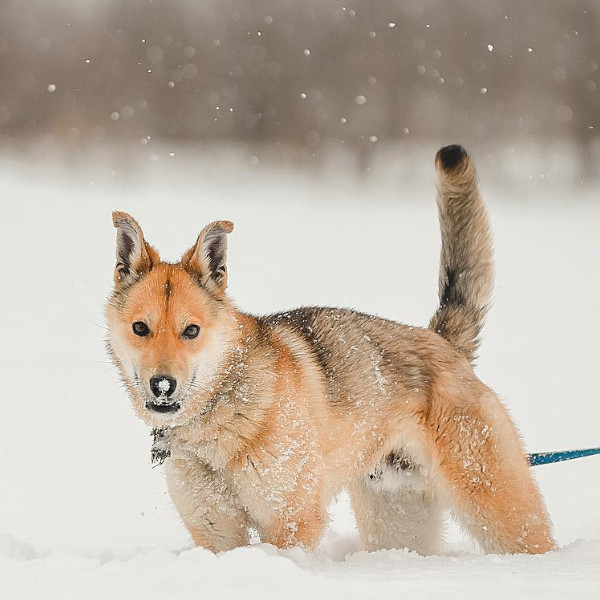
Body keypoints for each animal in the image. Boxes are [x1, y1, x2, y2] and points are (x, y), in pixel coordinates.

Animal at [106, 145, 552, 552]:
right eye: (141, 328)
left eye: (192, 331)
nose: (162, 386)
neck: (222, 414)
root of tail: (442, 341)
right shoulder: (216, 530)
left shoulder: (291, 521)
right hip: (397, 521)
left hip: (502, 511)